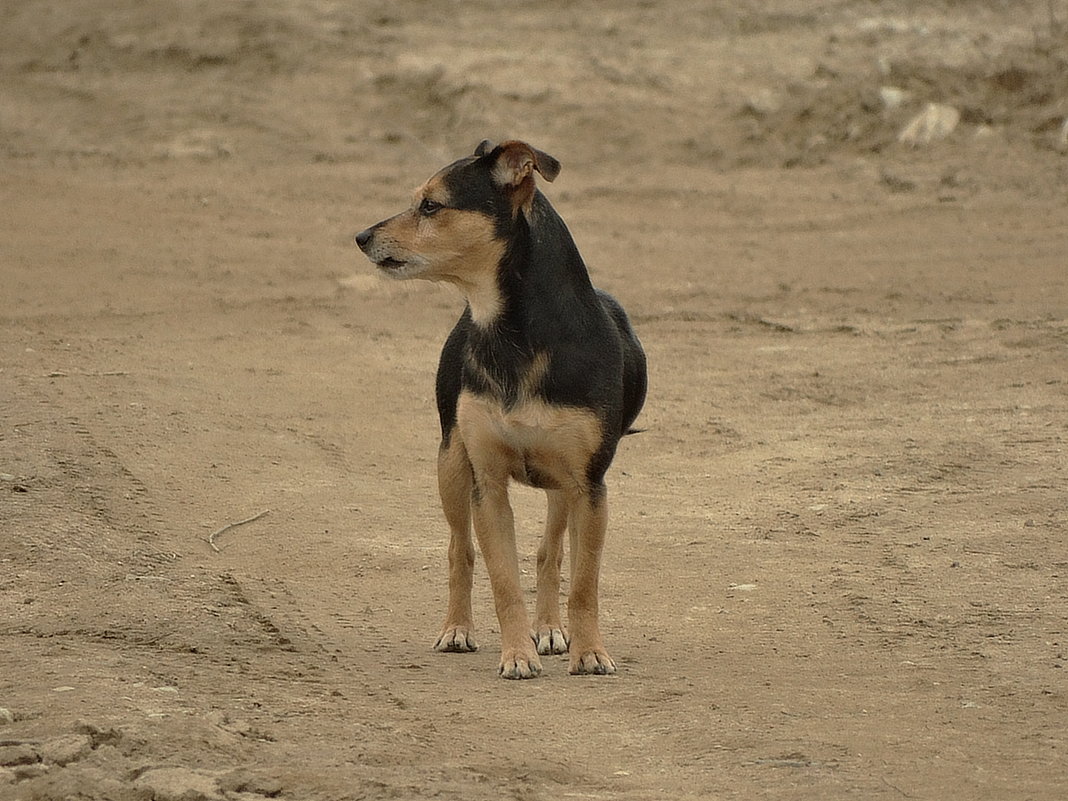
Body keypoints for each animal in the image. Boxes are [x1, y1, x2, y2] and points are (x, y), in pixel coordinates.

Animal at [354, 139, 645, 679]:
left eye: (431, 206)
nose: (361, 237)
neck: (516, 335)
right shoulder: (486, 483)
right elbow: (503, 580)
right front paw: (516, 655)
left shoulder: (589, 486)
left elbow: (583, 583)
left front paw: (588, 651)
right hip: (451, 463)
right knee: (459, 550)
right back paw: (457, 629)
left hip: (561, 488)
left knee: (550, 553)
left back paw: (550, 629)